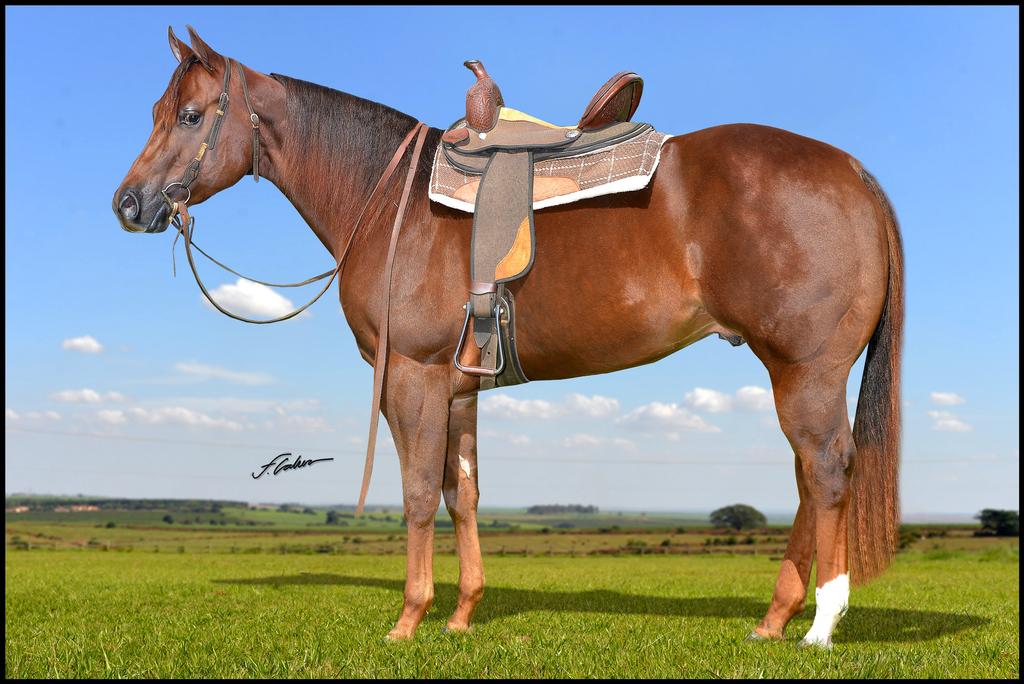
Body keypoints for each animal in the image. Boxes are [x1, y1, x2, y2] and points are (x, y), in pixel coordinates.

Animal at [114, 28, 905, 647]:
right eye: (158, 111)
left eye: (190, 115)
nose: (128, 204)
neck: (389, 199)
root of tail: (854, 173)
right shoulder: (459, 387)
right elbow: (461, 492)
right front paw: (463, 614)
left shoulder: (411, 375)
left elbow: (415, 494)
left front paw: (409, 619)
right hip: (793, 372)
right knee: (807, 477)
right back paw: (773, 620)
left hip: (806, 370)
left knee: (827, 469)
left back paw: (818, 626)